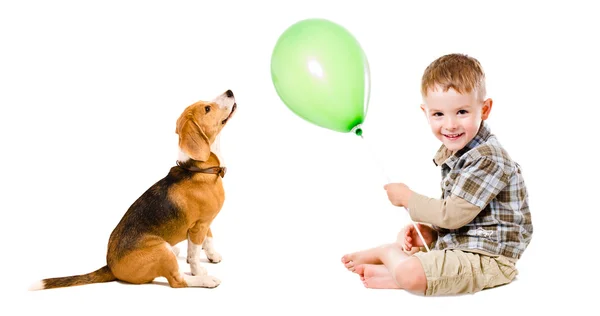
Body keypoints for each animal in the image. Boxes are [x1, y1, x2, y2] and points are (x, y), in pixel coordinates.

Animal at [29, 90, 237, 290]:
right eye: (207, 109)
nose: (229, 91)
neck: (198, 168)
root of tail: (110, 266)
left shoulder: (205, 223)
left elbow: (209, 238)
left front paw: (212, 255)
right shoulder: (198, 226)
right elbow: (194, 254)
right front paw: (199, 271)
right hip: (160, 250)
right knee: (177, 281)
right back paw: (206, 281)